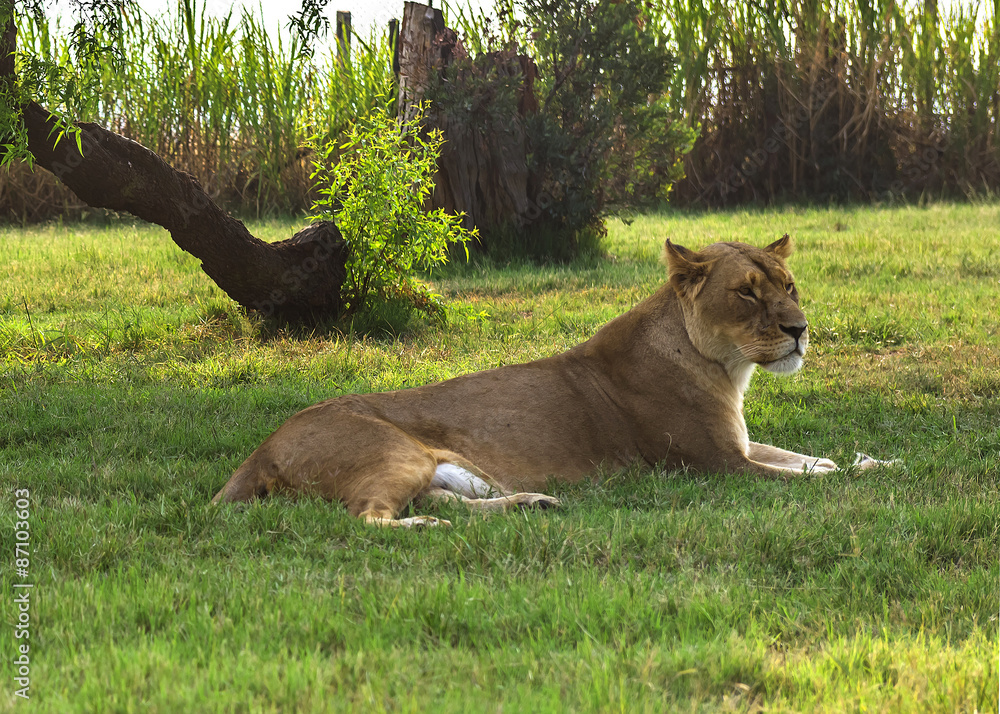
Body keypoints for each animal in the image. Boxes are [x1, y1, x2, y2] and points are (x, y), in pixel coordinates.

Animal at [213, 235, 872, 527]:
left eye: (789, 286)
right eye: (746, 293)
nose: (799, 330)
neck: (727, 368)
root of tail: (260, 448)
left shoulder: (742, 446)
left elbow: (816, 460)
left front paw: (874, 461)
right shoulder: (719, 466)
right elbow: (815, 478)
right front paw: (867, 473)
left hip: (447, 471)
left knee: (446, 499)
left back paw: (534, 502)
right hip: (394, 454)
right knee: (368, 516)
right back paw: (430, 527)